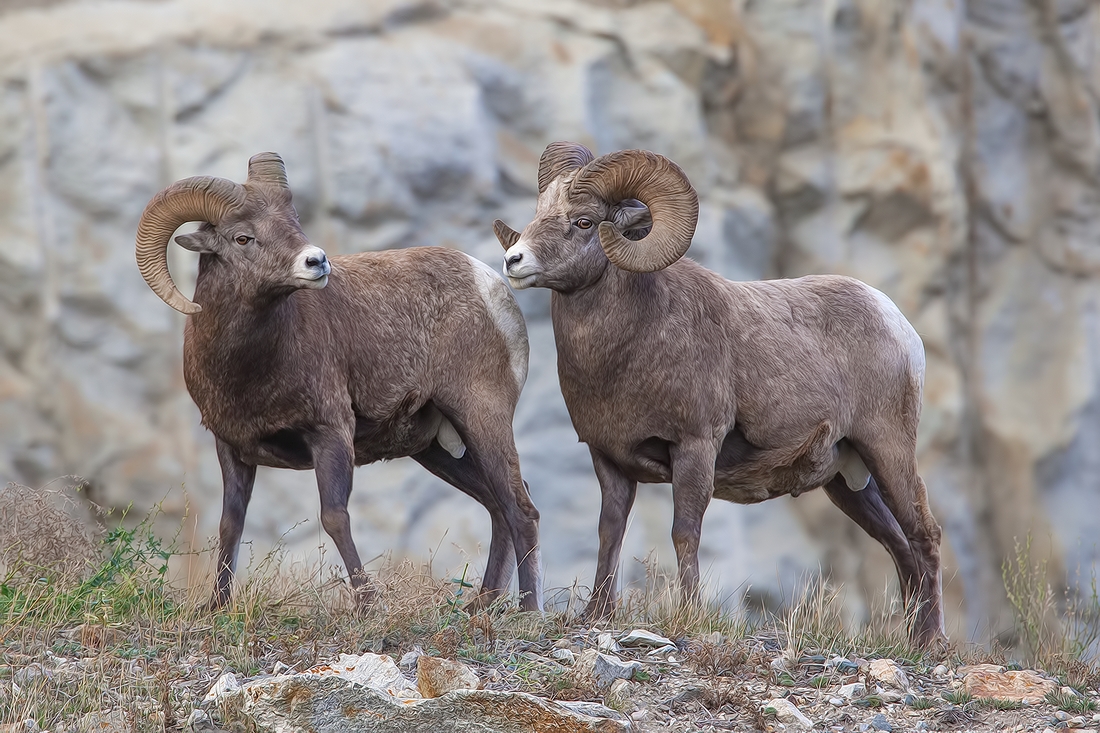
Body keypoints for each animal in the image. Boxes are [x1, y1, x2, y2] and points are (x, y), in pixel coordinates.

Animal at [135, 152, 543, 611]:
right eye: (243, 238)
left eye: (293, 223)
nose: (316, 262)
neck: (251, 366)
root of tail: (491, 285)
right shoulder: (231, 448)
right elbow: (230, 524)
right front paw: (217, 605)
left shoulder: (329, 434)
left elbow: (335, 518)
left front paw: (367, 605)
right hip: (438, 450)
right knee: (498, 508)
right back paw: (481, 606)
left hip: (480, 418)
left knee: (521, 509)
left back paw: (528, 610)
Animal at [492, 139, 946, 642]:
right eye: (539, 211)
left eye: (585, 222)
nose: (514, 261)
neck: (629, 348)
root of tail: (897, 323)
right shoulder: (608, 459)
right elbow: (610, 532)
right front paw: (596, 614)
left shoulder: (695, 448)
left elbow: (685, 532)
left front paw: (688, 615)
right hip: (849, 482)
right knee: (898, 545)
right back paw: (913, 639)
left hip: (887, 448)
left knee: (923, 534)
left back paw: (931, 643)